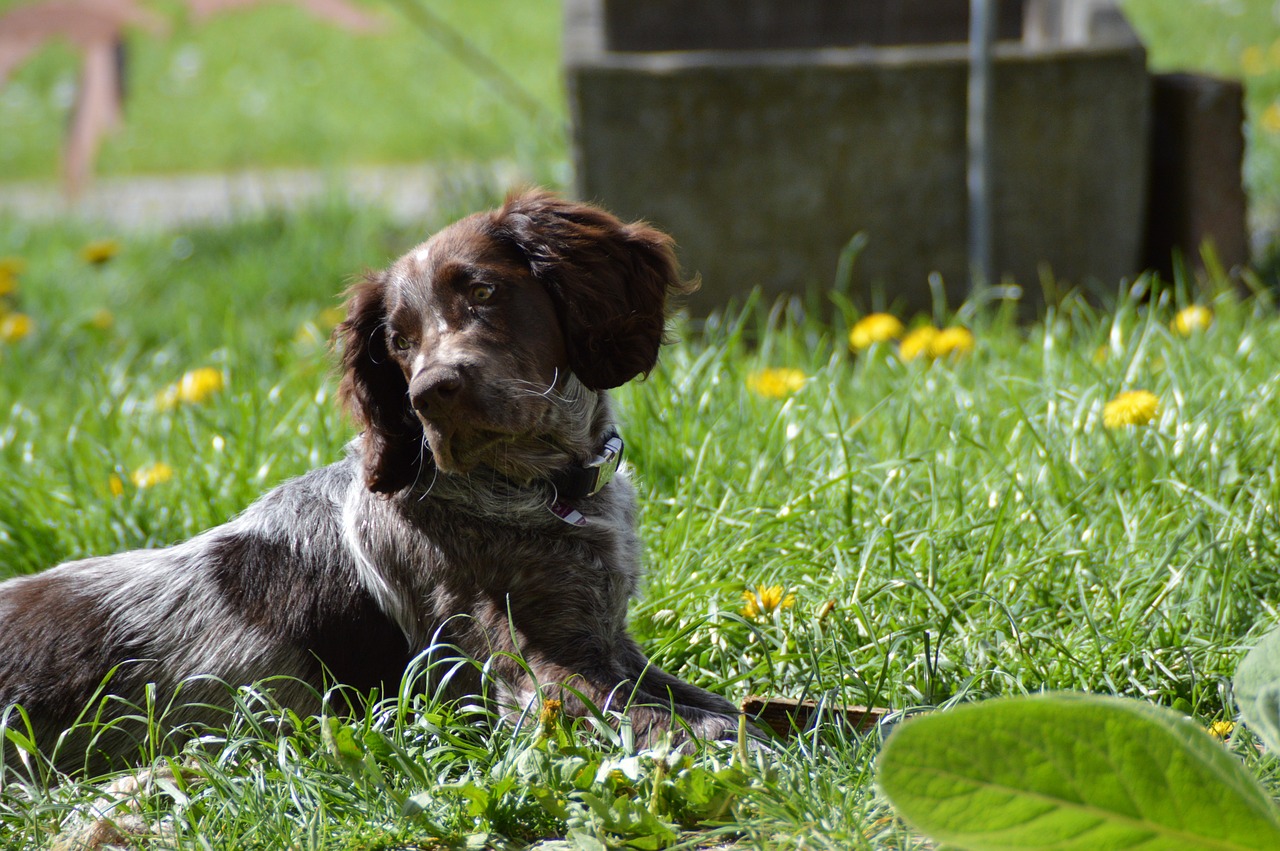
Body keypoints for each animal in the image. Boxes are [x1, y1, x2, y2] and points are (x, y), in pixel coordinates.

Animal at [0, 189, 747, 772]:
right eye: (396, 340)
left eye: (484, 291)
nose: (431, 393)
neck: (541, 492)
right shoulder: (536, 671)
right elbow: (683, 725)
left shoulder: (607, 642)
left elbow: (731, 705)